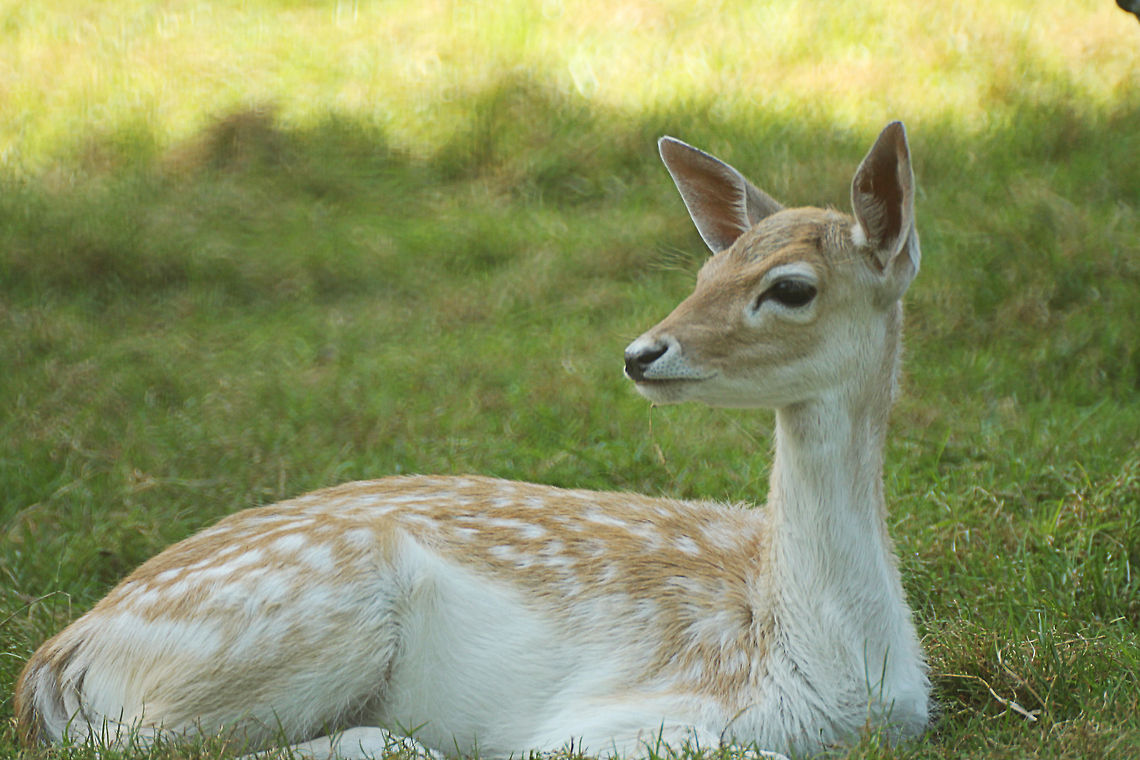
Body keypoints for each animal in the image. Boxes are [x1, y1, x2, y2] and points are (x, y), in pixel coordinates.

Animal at [15, 121, 930, 759]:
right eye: (706, 272)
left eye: (791, 287)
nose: (642, 353)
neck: (828, 670)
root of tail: (59, 661)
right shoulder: (612, 720)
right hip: (294, 629)